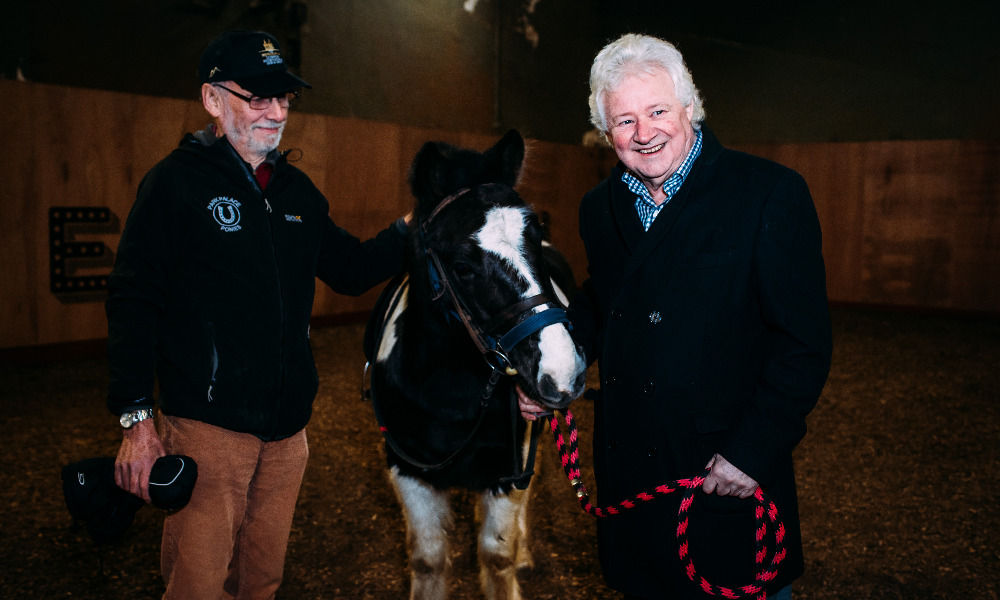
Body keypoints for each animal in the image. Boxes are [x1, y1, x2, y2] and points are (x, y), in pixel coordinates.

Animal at [366, 129, 584, 596]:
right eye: (462, 265)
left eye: (535, 237)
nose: (563, 371)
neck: (450, 388)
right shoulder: (407, 471)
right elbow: (428, 560)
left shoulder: (509, 471)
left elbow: (497, 557)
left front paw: (513, 557)